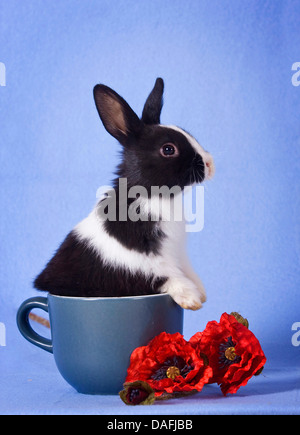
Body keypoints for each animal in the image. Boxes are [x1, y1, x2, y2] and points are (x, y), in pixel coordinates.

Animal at [34, 77, 214, 310]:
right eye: (168, 149)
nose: (210, 164)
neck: (153, 196)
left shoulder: (177, 252)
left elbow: (187, 269)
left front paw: (201, 292)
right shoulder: (137, 262)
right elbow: (165, 274)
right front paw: (191, 298)